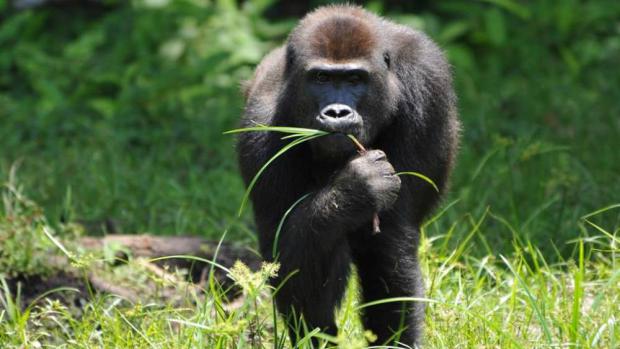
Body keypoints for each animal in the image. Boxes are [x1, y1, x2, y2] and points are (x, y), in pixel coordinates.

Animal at [237, 4, 460, 346]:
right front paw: (355, 189)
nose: (337, 112)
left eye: (355, 79)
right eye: (321, 78)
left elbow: (388, 245)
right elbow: (284, 256)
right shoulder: (260, 126)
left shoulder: (427, 84)